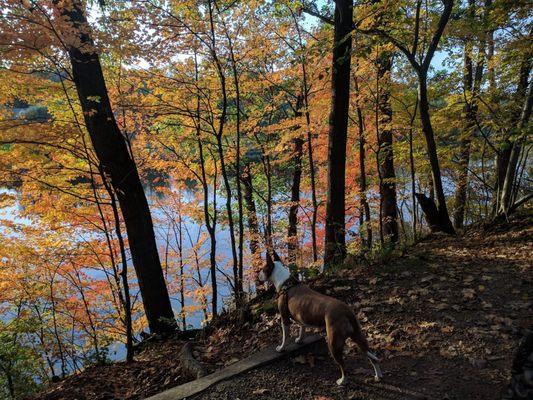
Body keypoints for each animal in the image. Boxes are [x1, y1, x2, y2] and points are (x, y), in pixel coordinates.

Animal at [258, 252, 380, 386]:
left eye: (263, 269)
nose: (258, 276)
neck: (286, 284)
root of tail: (346, 311)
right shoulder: (301, 317)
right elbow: (302, 329)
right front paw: (300, 340)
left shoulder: (284, 318)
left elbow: (285, 337)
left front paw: (281, 348)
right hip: (358, 336)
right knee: (372, 355)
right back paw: (378, 376)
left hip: (333, 342)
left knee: (343, 365)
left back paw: (342, 380)